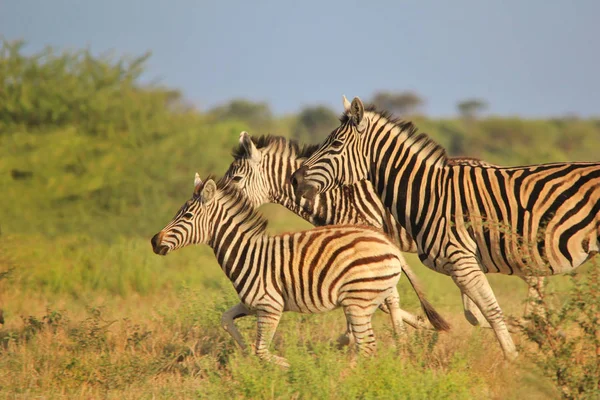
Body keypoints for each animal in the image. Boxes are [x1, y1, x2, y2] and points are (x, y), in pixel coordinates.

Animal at [152, 174, 410, 366]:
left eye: (187, 215)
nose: (154, 241)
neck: (247, 254)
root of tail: (388, 244)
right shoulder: (251, 303)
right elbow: (226, 320)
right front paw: (245, 350)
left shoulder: (270, 306)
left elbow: (262, 350)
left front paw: (288, 365)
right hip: (368, 297)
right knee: (383, 327)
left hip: (358, 301)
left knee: (368, 345)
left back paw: (344, 377)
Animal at [290, 96, 600, 360]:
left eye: (335, 144)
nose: (294, 179)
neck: (429, 193)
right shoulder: (460, 266)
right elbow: (476, 314)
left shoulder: (462, 260)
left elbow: (491, 311)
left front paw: (514, 361)